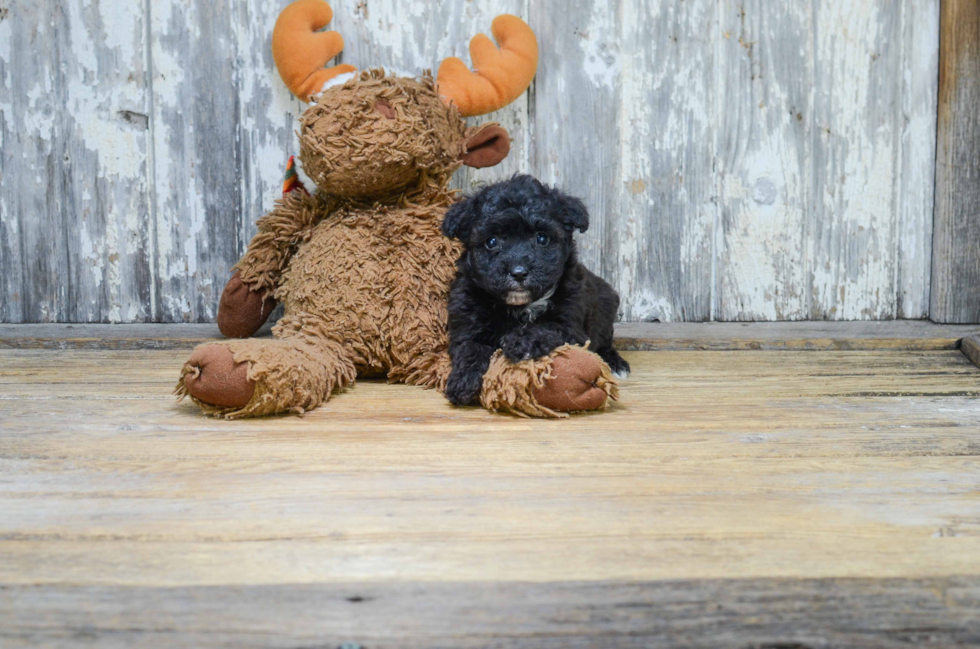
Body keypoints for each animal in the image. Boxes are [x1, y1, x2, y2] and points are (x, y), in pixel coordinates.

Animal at [442, 173, 628, 404]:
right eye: (491, 241)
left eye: (542, 238)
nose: (519, 272)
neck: (520, 306)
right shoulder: (467, 318)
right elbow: (469, 347)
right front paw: (462, 380)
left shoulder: (572, 323)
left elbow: (547, 328)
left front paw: (521, 341)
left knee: (604, 342)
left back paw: (615, 362)